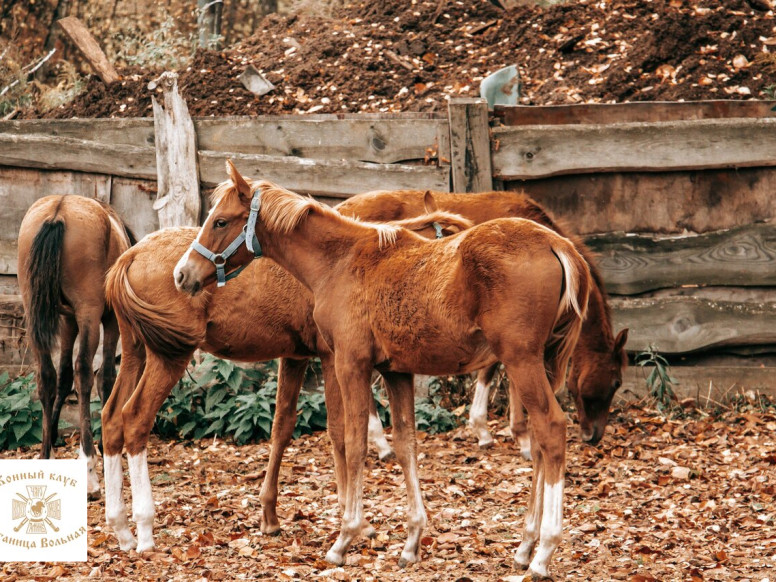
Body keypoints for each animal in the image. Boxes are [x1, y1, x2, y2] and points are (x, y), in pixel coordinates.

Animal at [17, 194, 135, 500]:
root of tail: (58, 211)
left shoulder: (67, 321)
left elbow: (62, 378)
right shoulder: (109, 319)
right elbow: (104, 377)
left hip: (35, 312)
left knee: (47, 376)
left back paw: (47, 455)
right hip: (89, 313)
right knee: (85, 372)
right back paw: (89, 465)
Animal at [100, 208, 470, 556]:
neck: (341, 261)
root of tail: (132, 254)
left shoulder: (295, 358)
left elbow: (281, 427)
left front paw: (269, 514)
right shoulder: (331, 357)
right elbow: (338, 432)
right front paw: (353, 519)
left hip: (135, 353)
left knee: (111, 419)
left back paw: (121, 528)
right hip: (169, 356)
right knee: (135, 419)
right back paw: (144, 528)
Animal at [173, 164, 592, 580]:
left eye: (221, 221)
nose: (182, 274)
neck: (339, 262)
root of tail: (557, 244)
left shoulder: (349, 363)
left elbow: (354, 442)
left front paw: (346, 537)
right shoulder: (396, 373)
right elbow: (406, 444)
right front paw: (411, 542)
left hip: (522, 361)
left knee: (552, 429)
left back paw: (543, 553)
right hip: (543, 363)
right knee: (539, 442)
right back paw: (524, 546)